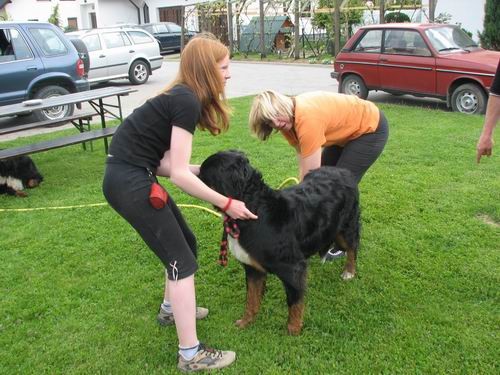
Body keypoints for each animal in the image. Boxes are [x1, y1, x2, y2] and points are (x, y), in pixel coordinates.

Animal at [198, 151, 360, 336]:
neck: (253, 209)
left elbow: (294, 301)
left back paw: (349, 272)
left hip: (345, 227)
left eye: (204, 174)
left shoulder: (293, 267)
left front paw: (293, 330)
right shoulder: (253, 268)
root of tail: (343, 171)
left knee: (352, 248)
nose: (193, 174)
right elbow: (251, 298)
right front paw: (246, 322)